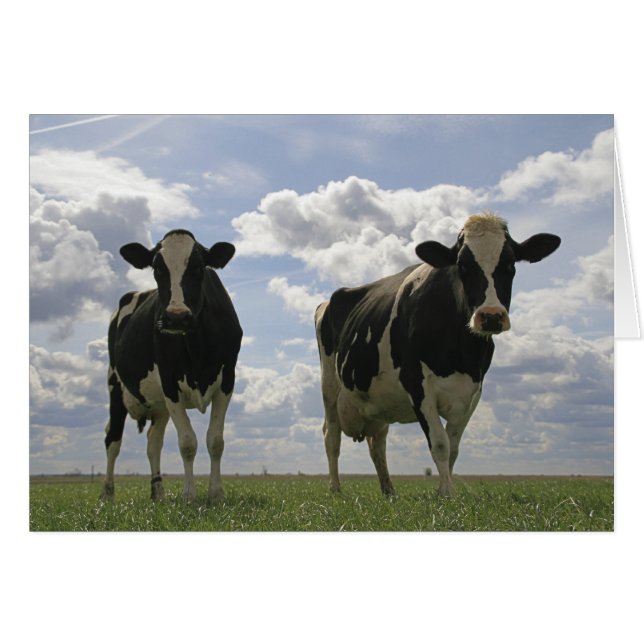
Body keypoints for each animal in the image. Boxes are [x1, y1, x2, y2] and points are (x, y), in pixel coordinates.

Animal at [100, 229, 242, 503]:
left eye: (199, 267)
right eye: (157, 267)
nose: (176, 316)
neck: (197, 349)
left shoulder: (227, 380)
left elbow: (215, 441)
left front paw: (216, 494)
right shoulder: (168, 381)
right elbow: (187, 443)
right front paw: (189, 496)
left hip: (158, 407)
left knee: (153, 443)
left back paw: (159, 494)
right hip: (115, 386)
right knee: (113, 440)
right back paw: (106, 495)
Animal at [314, 212, 560, 497]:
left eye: (510, 264)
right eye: (462, 266)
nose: (490, 316)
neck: (461, 354)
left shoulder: (473, 392)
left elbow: (453, 448)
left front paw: (446, 488)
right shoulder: (417, 384)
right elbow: (440, 443)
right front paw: (447, 493)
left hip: (377, 400)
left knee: (377, 443)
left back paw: (389, 491)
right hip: (329, 387)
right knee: (331, 436)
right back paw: (335, 488)